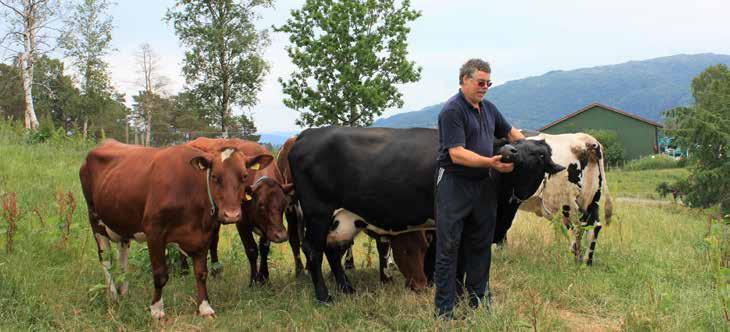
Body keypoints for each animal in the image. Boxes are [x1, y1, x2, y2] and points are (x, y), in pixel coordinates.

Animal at [79, 139, 272, 318]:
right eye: (215, 176)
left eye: (244, 176)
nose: (231, 214)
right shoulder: (154, 232)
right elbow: (160, 275)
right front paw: (156, 310)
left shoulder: (203, 235)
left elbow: (201, 273)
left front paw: (205, 307)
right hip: (95, 219)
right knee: (105, 259)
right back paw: (113, 295)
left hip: (122, 221)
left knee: (123, 256)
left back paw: (123, 290)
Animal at [288, 127, 560, 304]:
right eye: (518, 148)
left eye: (540, 154)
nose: (510, 152)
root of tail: (306, 135)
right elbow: (453, 259)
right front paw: (453, 293)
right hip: (318, 212)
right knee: (313, 250)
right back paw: (324, 297)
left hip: (342, 220)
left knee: (332, 251)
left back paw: (347, 289)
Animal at [492, 132, 612, 264]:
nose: (508, 150)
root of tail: (586, 139)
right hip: (591, 199)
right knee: (593, 226)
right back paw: (586, 262)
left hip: (568, 204)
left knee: (580, 226)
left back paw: (578, 260)